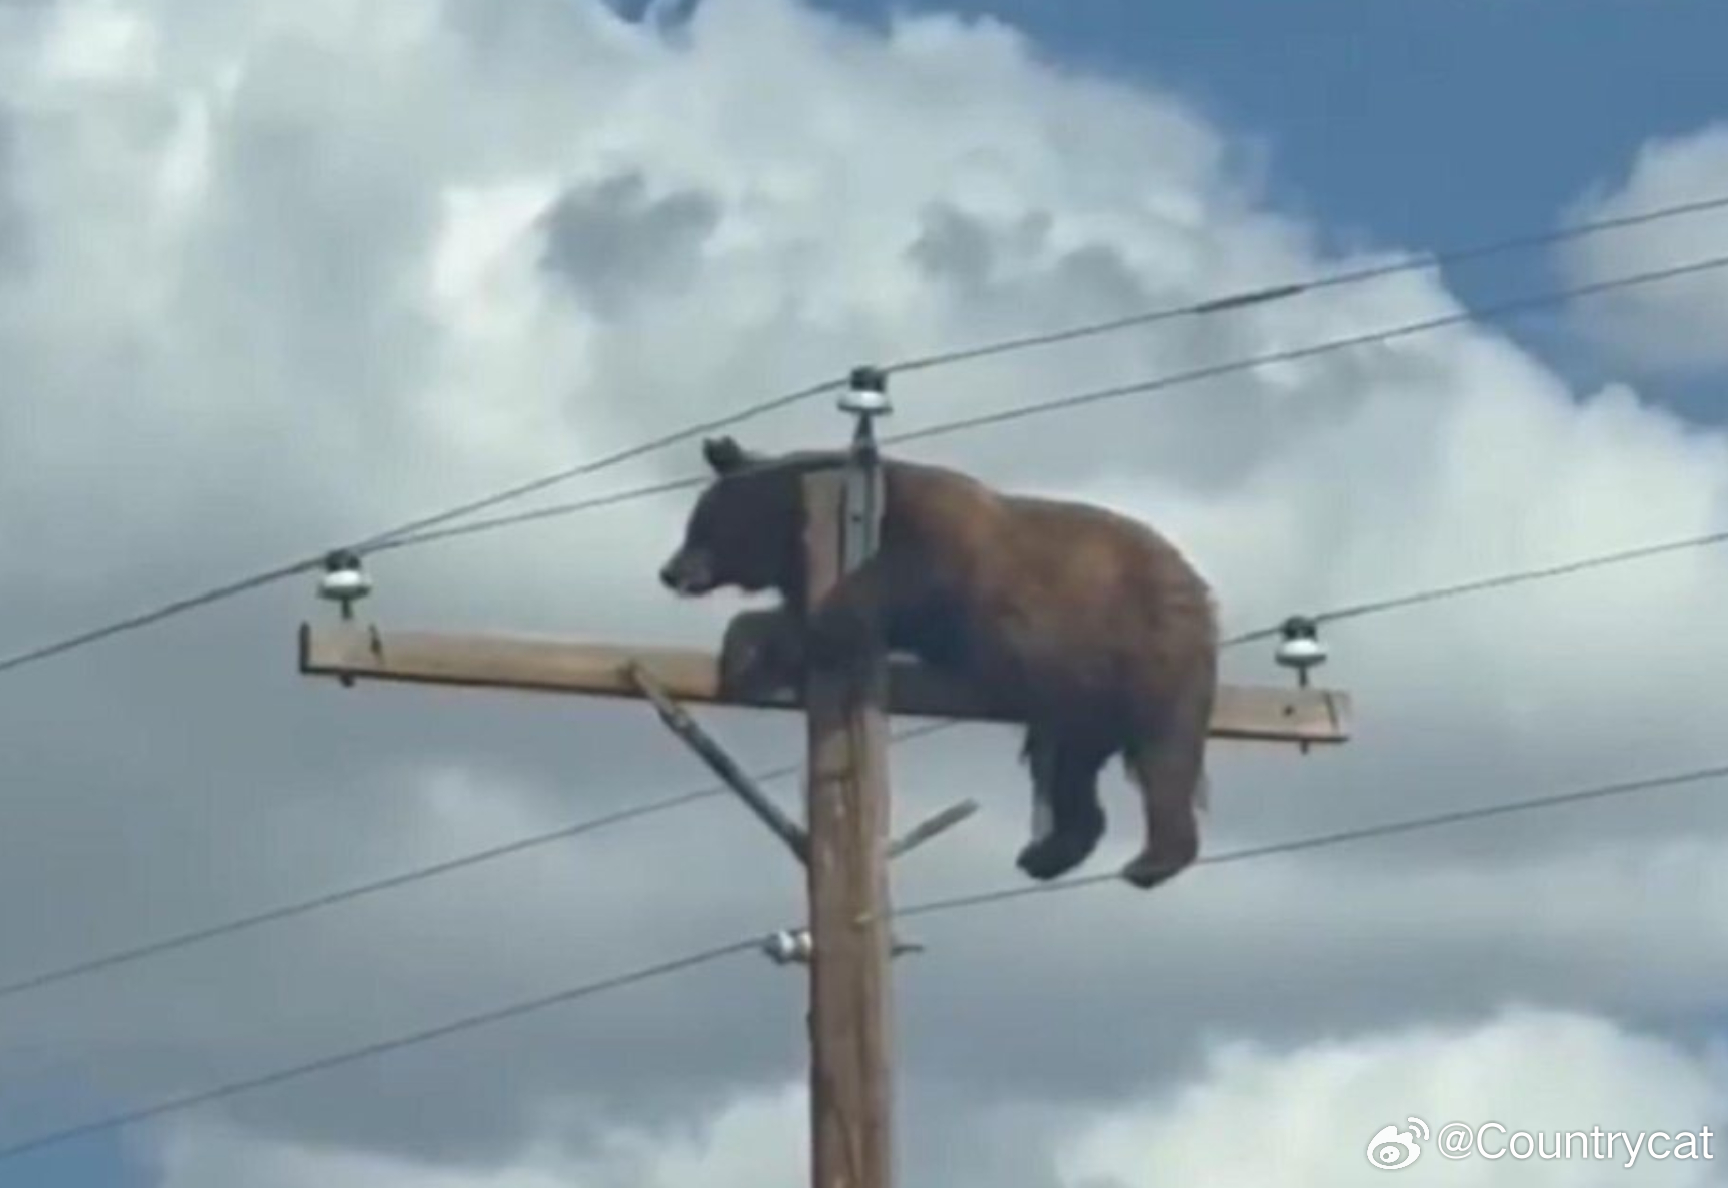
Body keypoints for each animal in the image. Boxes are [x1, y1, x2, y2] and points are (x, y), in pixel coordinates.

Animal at [657, 435, 1219, 890]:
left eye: (698, 524)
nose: (670, 570)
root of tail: (1198, 585)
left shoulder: (936, 543)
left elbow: (876, 593)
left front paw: (756, 648)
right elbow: (799, 621)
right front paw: (749, 651)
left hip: (1147, 645)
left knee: (1164, 749)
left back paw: (1151, 861)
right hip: (1080, 693)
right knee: (1069, 764)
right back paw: (1047, 853)